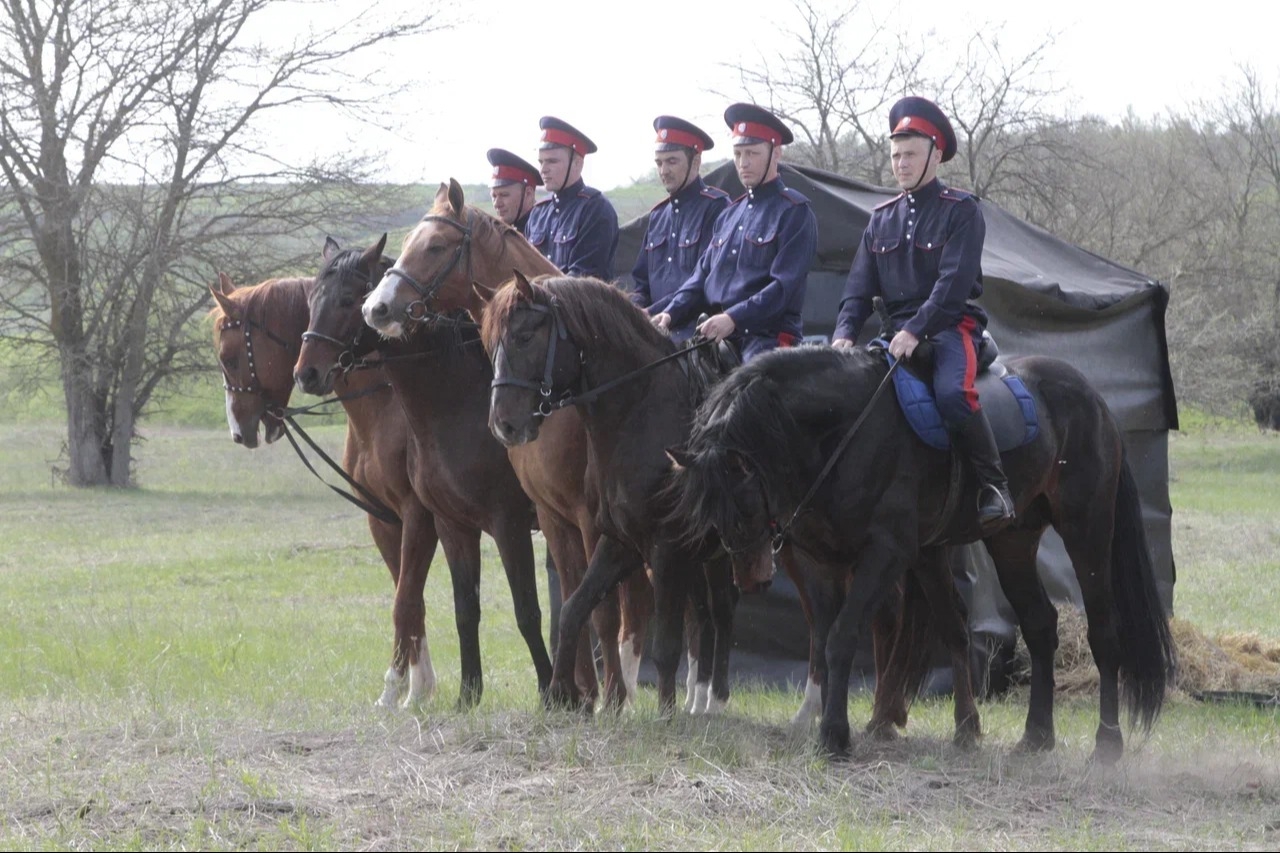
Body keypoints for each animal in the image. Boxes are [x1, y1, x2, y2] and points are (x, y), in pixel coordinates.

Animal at [208, 270, 445, 701]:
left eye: (229, 358)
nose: (238, 431)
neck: (387, 402)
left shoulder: (419, 516)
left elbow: (405, 600)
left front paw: (398, 689)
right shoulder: (385, 519)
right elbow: (410, 598)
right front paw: (419, 686)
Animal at [293, 234, 558, 701]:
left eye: (348, 299)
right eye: (312, 300)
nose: (306, 373)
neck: (455, 405)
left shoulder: (500, 524)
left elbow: (524, 608)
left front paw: (548, 690)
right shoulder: (448, 524)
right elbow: (457, 608)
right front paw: (464, 694)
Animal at [481, 272, 742, 712]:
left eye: (524, 336)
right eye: (489, 344)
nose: (504, 424)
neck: (642, 417)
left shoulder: (664, 549)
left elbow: (662, 643)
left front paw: (662, 714)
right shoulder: (619, 540)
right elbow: (575, 610)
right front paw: (560, 695)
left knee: (725, 614)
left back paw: (716, 701)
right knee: (704, 616)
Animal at [670, 343, 1177, 758]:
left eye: (742, 506)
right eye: (711, 515)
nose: (751, 577)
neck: (846, 430)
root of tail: (1093, 397)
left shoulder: (885, 553)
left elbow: (842, 636)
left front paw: (834, 735)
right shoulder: (833, 561)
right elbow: (850, 636)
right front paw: (963, 728)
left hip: (1086, 530)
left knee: (1103, 631)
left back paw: (1107, 744)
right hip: (1012, 541)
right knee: (1039, 625)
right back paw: (1036, 737)